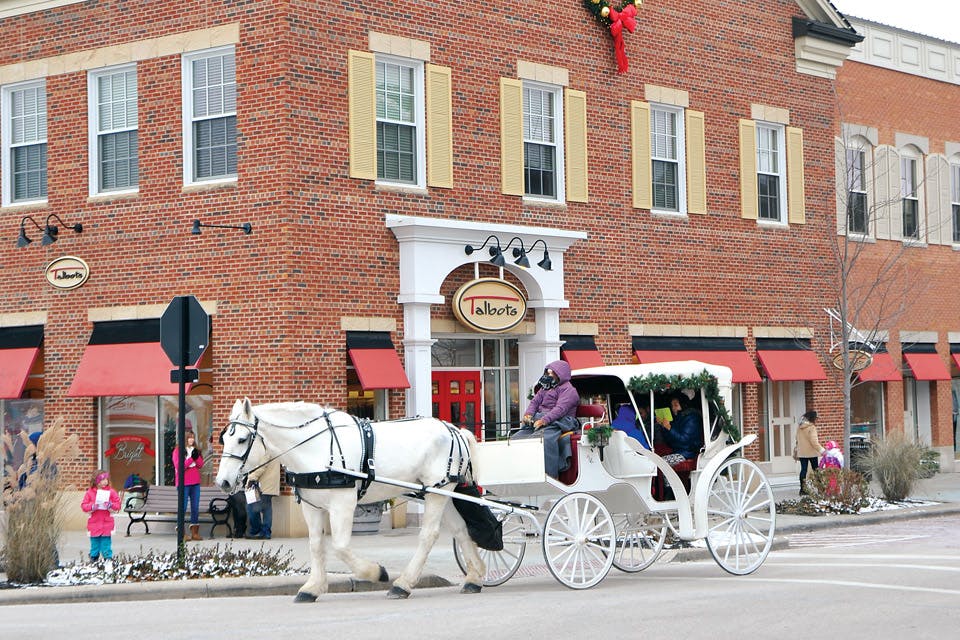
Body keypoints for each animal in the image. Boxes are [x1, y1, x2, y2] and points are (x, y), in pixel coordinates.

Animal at [216, 398, 488, 604]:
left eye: (242, 439)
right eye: (224, 438)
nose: (224, 482)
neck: (315, 447)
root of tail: (453, 429)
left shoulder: (343, 503)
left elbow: (340, 546)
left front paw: (377, 572)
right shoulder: (312, 506)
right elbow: (316, 545)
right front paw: (312, 587)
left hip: (435, 494)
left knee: (428, 535)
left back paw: (402, 584)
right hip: (443, 493)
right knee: (461, 529)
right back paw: (474, 577)